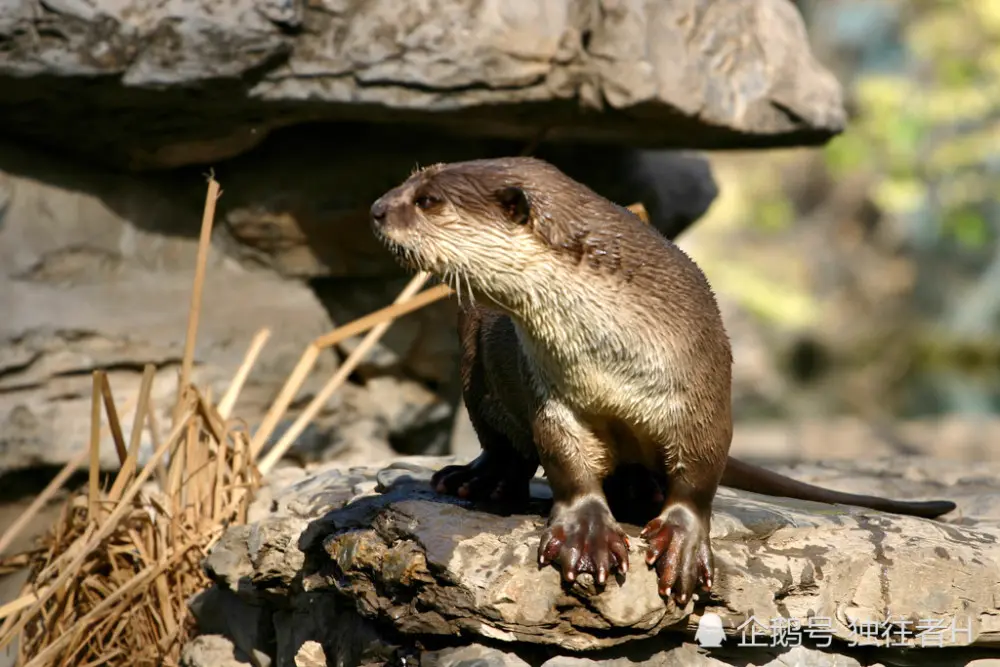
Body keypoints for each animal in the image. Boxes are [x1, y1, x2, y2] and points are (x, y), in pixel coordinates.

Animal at [370, 155, 952, 604]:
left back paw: (640, 491)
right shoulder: (553, 395)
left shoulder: (703, 387)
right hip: (473, 350)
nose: (377, 208)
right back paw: (477, 480)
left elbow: (700, 475)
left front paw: (683, 543)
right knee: (503, 445)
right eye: (409, 182)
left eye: (427, 200)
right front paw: (586, 533)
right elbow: (564, 457)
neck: (609, 358)